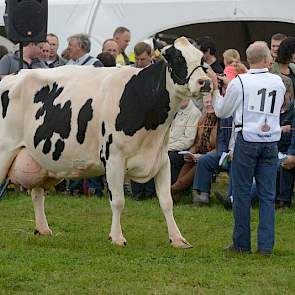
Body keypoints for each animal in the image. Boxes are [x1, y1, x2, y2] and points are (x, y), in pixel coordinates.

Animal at [0, 37, 213, 250]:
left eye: (202, 58)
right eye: (178, 58)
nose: (206, 82)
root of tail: (11, 76)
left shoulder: (161, 159)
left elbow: (167, 201)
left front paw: (177, 238)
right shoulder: (114, 158)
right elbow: (118, 201)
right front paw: (117, 237)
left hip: (41, 161)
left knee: (37, 193)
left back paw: (43, 229)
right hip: (4, 153)